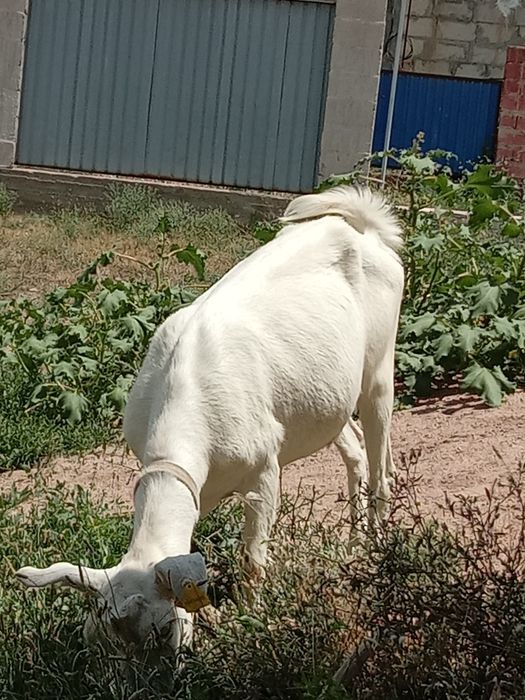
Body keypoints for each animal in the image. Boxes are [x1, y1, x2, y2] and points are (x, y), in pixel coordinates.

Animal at [15, 186, 404, 660]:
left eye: (165, 629)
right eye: (97, 639)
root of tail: (365, 227)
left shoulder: (264, 470)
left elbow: (252, 556)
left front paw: (249, 619)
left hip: (379, 368)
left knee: (381, 457)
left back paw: (375, 548)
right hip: (326, 400)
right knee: (352, 446)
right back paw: (350, 545)